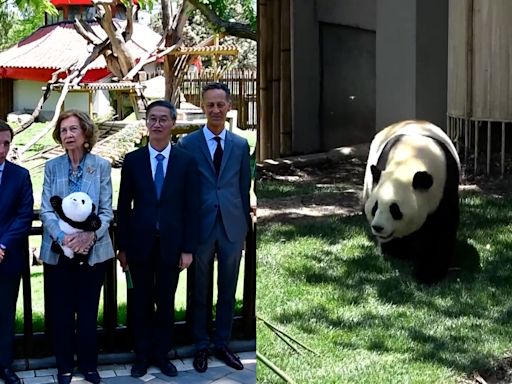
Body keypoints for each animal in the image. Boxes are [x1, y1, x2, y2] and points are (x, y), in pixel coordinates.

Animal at [362, 121, 462, 284]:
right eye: (375, 207)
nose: (378, 227)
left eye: (395, 210)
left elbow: (441, 229)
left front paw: (428, 273)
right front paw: (396, 251)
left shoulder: (446, 186)